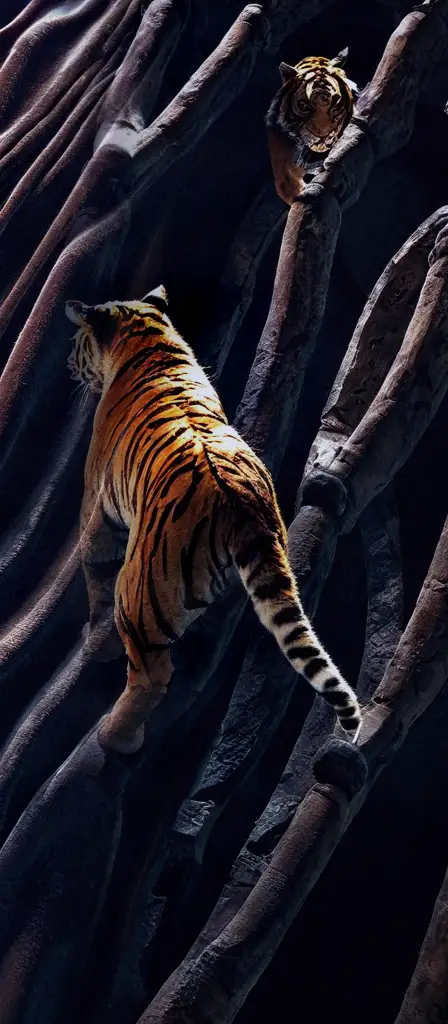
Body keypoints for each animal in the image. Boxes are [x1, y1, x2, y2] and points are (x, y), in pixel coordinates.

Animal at [65, 286, 362, 754]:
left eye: (77, 341)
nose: (66, 363)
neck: (151, 339)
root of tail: (242, 506)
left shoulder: (97, 504)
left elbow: (93, 569)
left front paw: (95, 643)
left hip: (138, 594)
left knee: (151, 677)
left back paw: (116, 737)